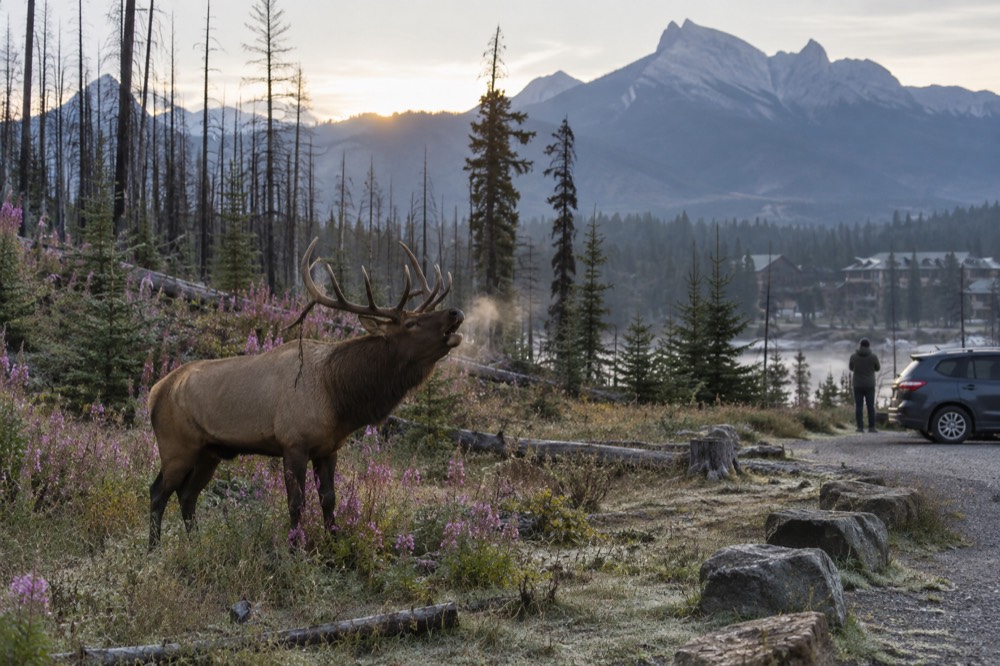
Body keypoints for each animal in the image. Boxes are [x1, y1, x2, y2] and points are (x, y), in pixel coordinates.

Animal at [147, 238, 464, 549]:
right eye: (410, 323)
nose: (455, 312)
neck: (339, 398)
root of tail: (155, 391)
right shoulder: (293, 443)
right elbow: (296, 504)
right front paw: (295, 549)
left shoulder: (328, 448)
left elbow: (329, 500)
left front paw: (333, 544)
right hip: (177, 446)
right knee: (158, 491)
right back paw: (154, 549)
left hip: (209, 451)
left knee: (187, 495)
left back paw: (196, 545)